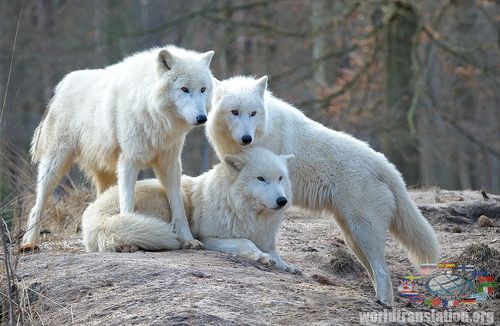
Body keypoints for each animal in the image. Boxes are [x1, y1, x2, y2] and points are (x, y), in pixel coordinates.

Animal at [22, 45, 214, 250]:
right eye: (184, 89)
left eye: (203, 89)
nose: (202, 118)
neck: (151, 110)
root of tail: (61, 86)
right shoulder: (129, 162)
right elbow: (127, 203)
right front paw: (130, 237)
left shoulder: (169, 164)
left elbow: (179, 208)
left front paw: (188, 240)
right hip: (55, 164)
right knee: (37, 204)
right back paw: (29, 243)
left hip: (105, 174)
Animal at [80, 149, 298, 274]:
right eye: (261, 179)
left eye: (280, 178)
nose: (282, 201)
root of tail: (91, 214)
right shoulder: (209, 238)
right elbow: (246, 242)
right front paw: (263, 258)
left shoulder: (265, 239)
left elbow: (275, 253)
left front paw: (286, 265)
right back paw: (128, 246)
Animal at [205, 76, 440, 306]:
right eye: (235, 112)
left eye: (253, 113)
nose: (247, 138)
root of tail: (385, 165)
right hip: (353, 236)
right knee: (375, 270)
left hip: (364, 232)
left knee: (383, 271)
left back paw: (382, 303)